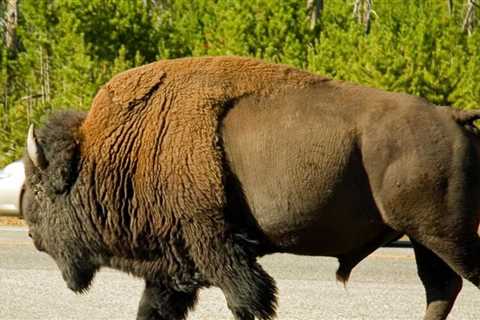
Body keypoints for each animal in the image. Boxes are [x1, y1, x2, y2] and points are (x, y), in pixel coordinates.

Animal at [24, 56, 480, 318]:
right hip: (426, 239)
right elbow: (153, 309)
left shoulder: (217, 249)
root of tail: (452, 115)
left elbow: (248, 300)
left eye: (42, 190)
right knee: (440, 288)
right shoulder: (172, 268)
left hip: (445, 235)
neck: (124, 148)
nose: (32, 235)